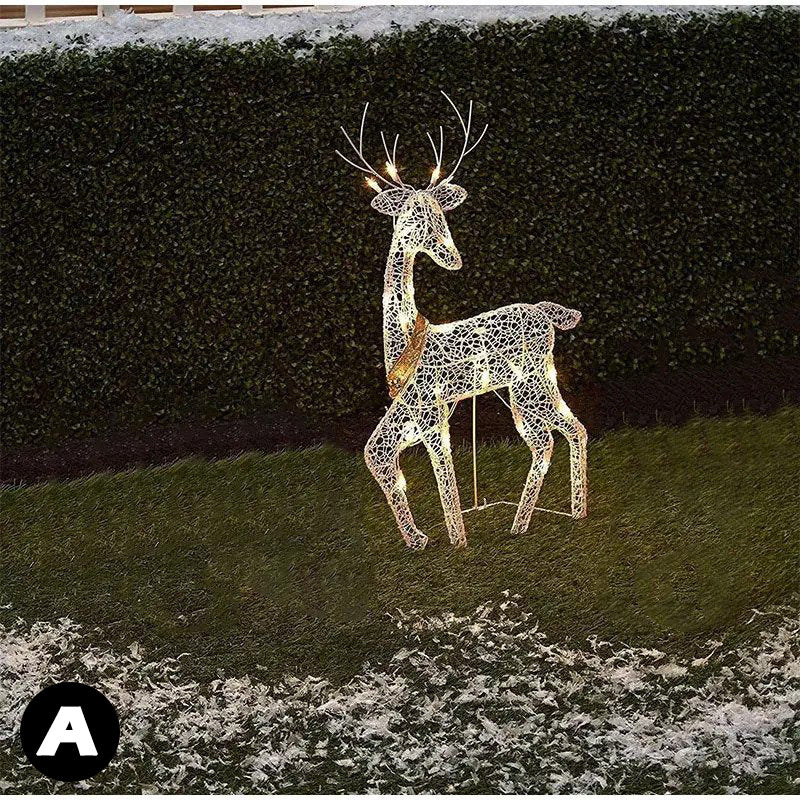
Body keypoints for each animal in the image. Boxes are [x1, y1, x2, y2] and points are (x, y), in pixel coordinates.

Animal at [336, 93, 587, 550]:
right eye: (413, 214)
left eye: (442, 214)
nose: (452, 257)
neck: (402, 341)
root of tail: (547, 313)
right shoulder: (410, 416)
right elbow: (376, 456)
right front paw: (417, 538)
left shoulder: (431, 413)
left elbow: (442, 472)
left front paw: (456, 539)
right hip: (542, 382)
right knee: (573, 429)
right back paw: (574, 511)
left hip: (526, 387)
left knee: (544, 441)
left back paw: (520, 524)